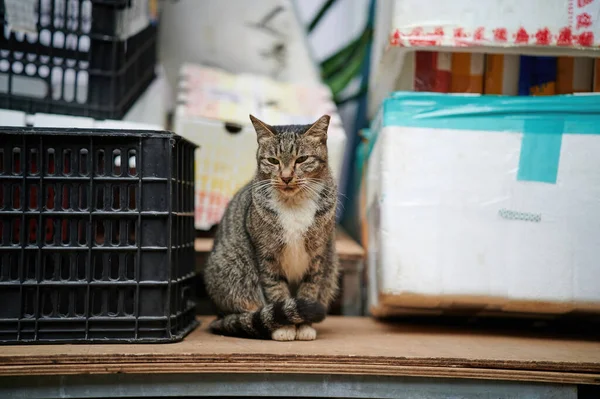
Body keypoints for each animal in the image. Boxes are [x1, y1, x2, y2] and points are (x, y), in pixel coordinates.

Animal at [205, 114, 338, 342]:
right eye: (273, 161)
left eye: (302, 159)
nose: (286, 177)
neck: (294, 205)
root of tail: (217, 314)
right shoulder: (267, 255)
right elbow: (277, 290)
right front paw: (285, 327)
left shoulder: (318, 256)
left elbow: (309, 290)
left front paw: (303, 326)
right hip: (232, 273)